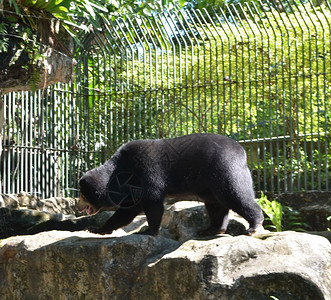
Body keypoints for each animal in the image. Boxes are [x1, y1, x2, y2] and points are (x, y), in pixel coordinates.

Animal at [78, 134, 264, 237]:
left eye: (83, 195)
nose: (78, 207)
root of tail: (242, 151)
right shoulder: (132, 188)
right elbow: (127, 211)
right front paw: (96, 229)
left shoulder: (146, 170)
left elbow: (153, 202)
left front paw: (148, 230)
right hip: (209, 184)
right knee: (215, 205)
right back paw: (212, 229)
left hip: (224, 169)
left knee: (235, 194)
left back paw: (253, 226)